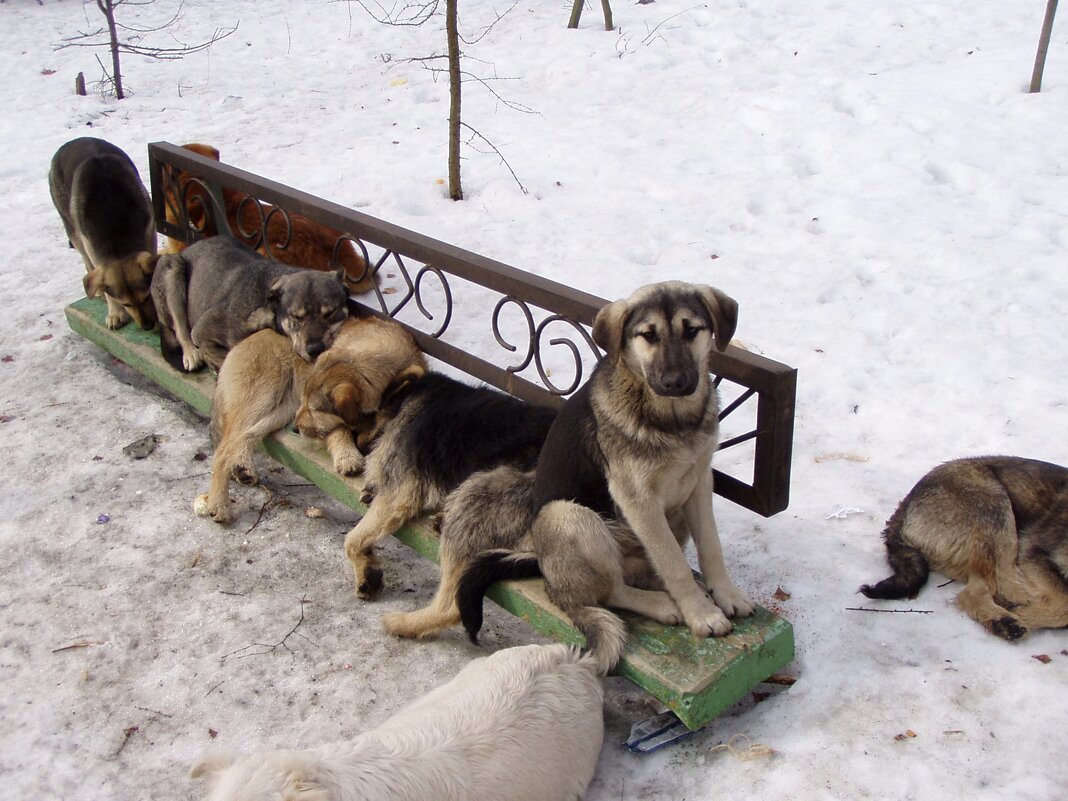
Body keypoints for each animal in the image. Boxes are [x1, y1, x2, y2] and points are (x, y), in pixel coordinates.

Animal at [48, 136, 158, 331]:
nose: (147, 326)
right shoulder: (91, 245)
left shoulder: (149, 232)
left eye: (146, 296)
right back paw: (97, 290)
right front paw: (115, 313)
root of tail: (71, 141)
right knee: (87, 263)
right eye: (125, 304)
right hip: (73, 230)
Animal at [150, 234, 348, 373]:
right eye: (296, 317)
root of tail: (186, 249)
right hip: (171, 266)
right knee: (180, 329)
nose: (315, 350)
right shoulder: (201, 332)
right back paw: (191, 353)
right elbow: (225, 357)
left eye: (331, 313)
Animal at [858, 457, 1068, 640]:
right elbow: (1064, 603)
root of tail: (903, 508)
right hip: (996, 509)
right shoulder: (1033, 551)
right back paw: (1006, 620)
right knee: (987, 590)